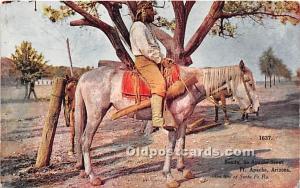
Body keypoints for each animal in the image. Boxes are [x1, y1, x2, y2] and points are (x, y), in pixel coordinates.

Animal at [74, 62, 258, 187]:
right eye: (249, 82)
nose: (255, 108)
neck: (190, 83)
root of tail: (84, 77)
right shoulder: (173, 123)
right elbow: (171, 146)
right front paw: (169, 176)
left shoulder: (184, 121)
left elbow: (182, 144)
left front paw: (183, 169)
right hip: (96, 115)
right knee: (85, 141)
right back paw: (93, 177)